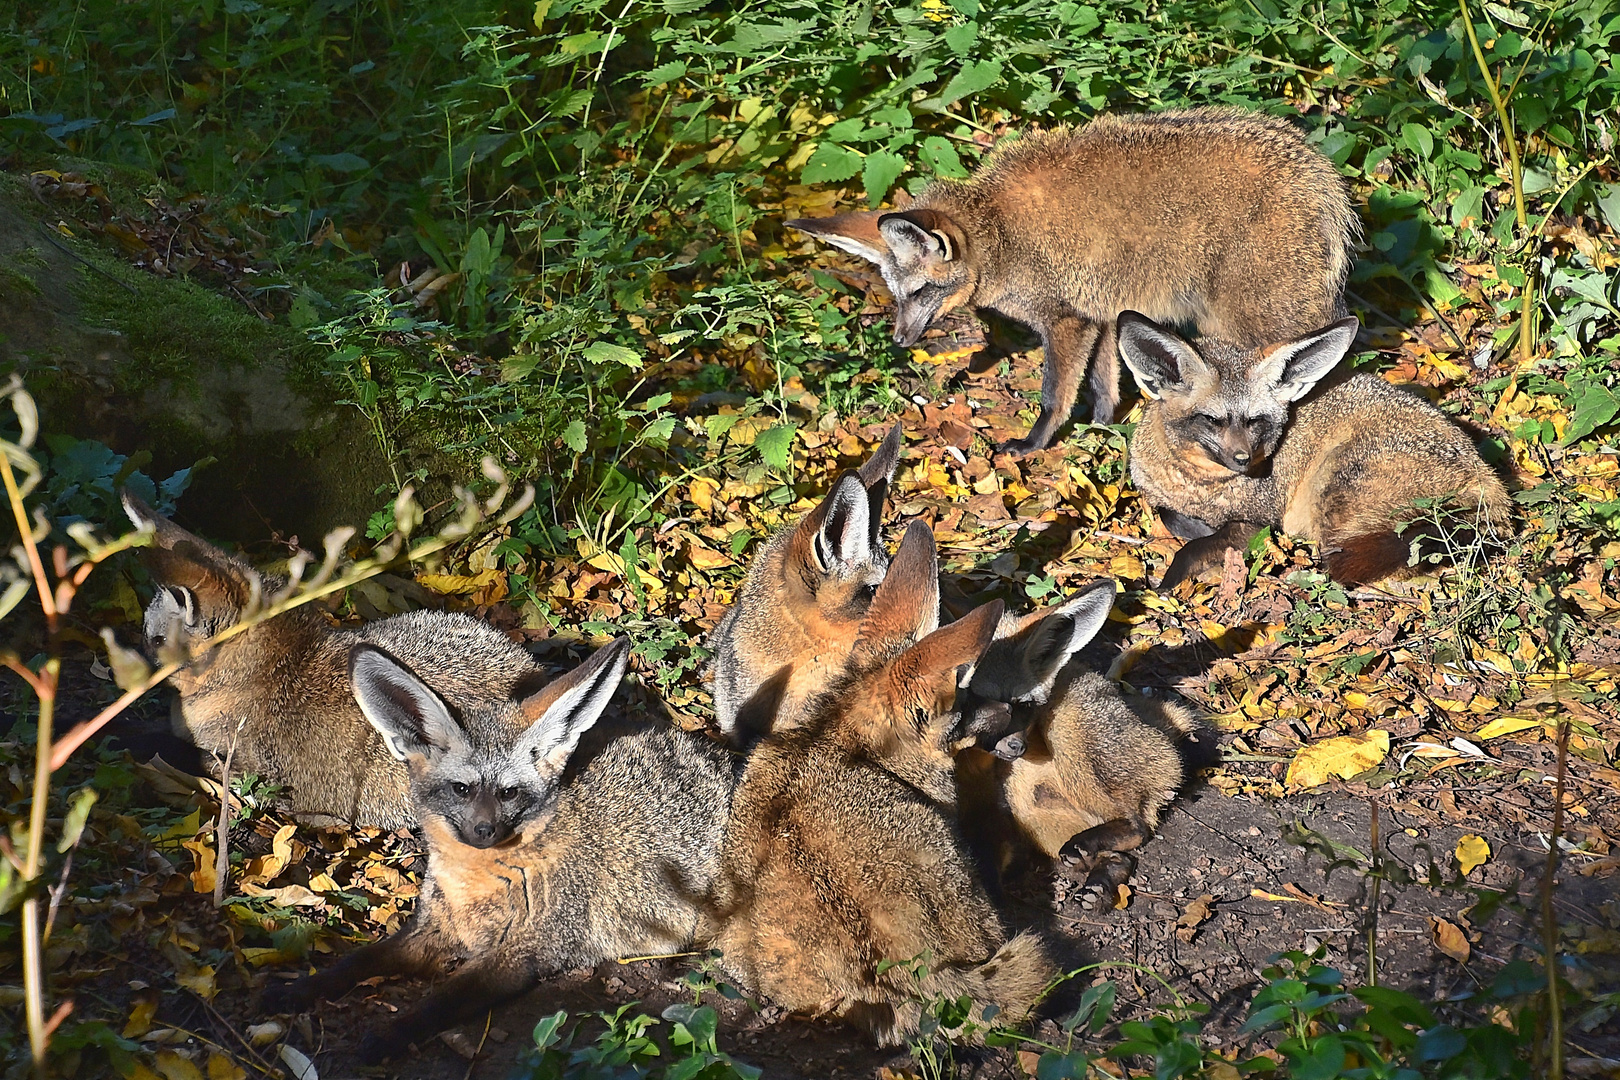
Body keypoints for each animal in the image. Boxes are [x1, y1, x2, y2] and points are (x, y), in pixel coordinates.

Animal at [268, 637, 738, 1068]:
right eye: (462, 789)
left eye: (508, 793)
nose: (484, 830)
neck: (474, 886)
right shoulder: (430, 930)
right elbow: (359, 960)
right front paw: (299, 990)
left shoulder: (521, 956)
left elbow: (438, 1001)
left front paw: (385, 1037)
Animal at [784, 105, 1354, 453]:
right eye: (897, 295)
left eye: (923, 291)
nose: (901, 341)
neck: (999, 231)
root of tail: (1320, 173)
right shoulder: (1100, 316)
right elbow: (1103, 386)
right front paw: (1101, 432)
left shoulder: (1065, 322)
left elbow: (1055, 395)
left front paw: (1035, 444)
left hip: (1252, 325)